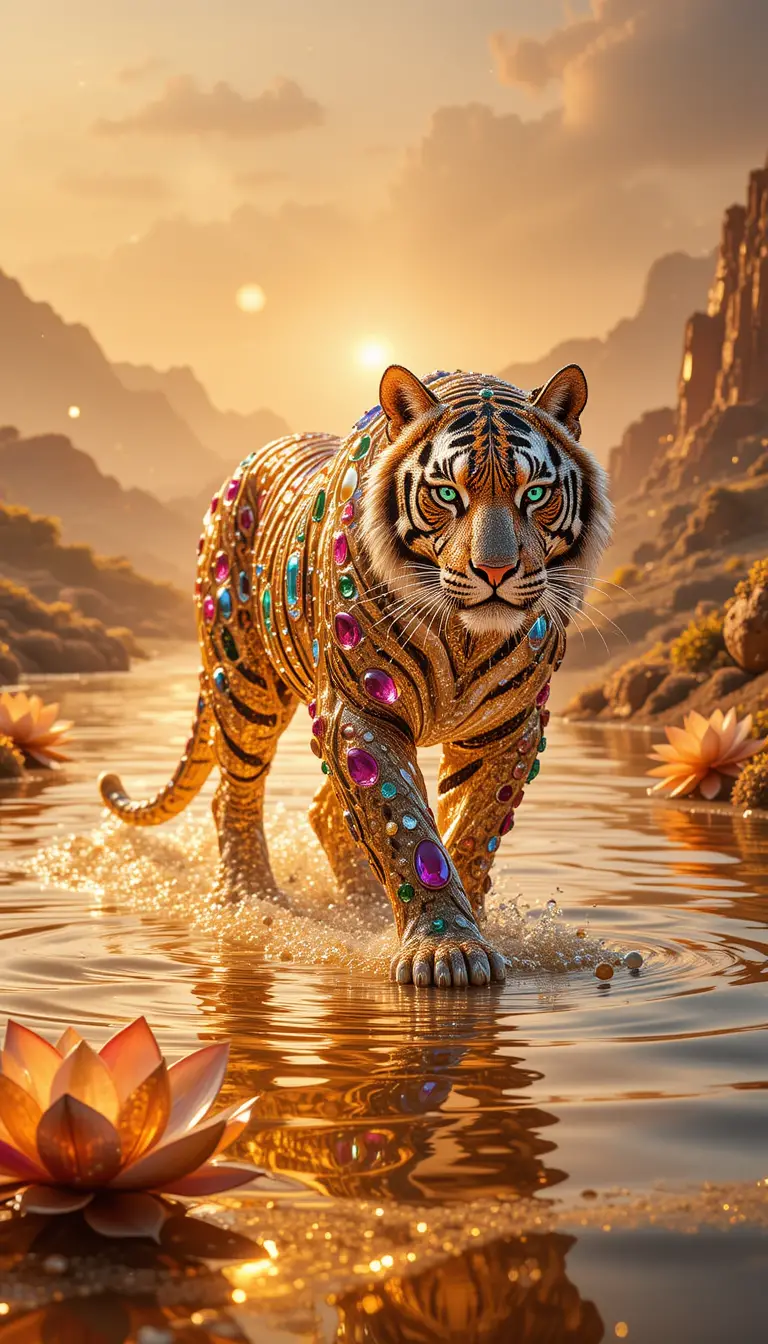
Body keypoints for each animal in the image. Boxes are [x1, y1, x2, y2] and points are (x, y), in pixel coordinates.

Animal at [100, 363, 611, 989]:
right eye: (448, 494)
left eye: (534, 493)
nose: (494, 571)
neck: (466, 636)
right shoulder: (359, 710)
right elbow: (408, 830)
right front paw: (445, 949)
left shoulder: (509, 728)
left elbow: (471, 831)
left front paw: (472, 932)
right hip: (245, 687)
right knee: (233, 795)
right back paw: (252, 900)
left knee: (322, 812)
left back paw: (362, 910)